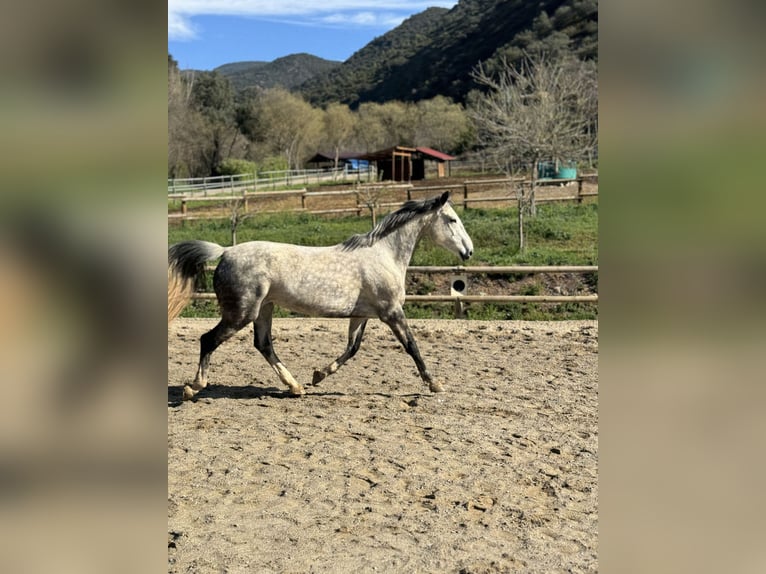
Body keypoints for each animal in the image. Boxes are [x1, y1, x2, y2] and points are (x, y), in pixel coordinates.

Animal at [168, 194, 474, 400]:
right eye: (452, 219)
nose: (469, 251)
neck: (384, 255)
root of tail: (225, 251)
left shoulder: (362, 314)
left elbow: (352, 348)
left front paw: (318, 376)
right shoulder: (391, 312)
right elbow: (412, 346)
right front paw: (434, 383)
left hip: (264, 309)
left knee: (263, 344)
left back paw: (296, 387)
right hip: (241, 313)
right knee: (208, 340)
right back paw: (193, 388)